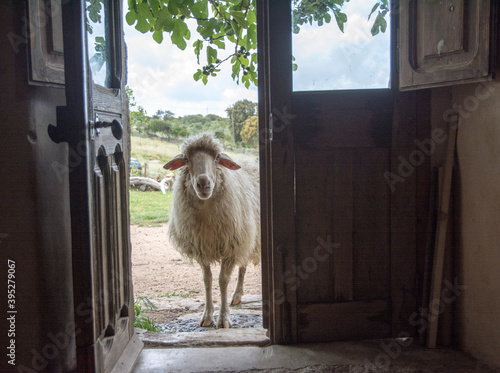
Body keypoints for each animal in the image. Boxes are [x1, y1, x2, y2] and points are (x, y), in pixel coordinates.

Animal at [163, 132, 260, 326]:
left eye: (217, 158)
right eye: (186, 158)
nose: (203, 184)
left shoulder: (231, 247)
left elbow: (222, 281)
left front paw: (223, 319)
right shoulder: (202, 248)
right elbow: (207, 280)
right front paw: (207, 316)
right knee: (243, 266)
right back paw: (237, 295)